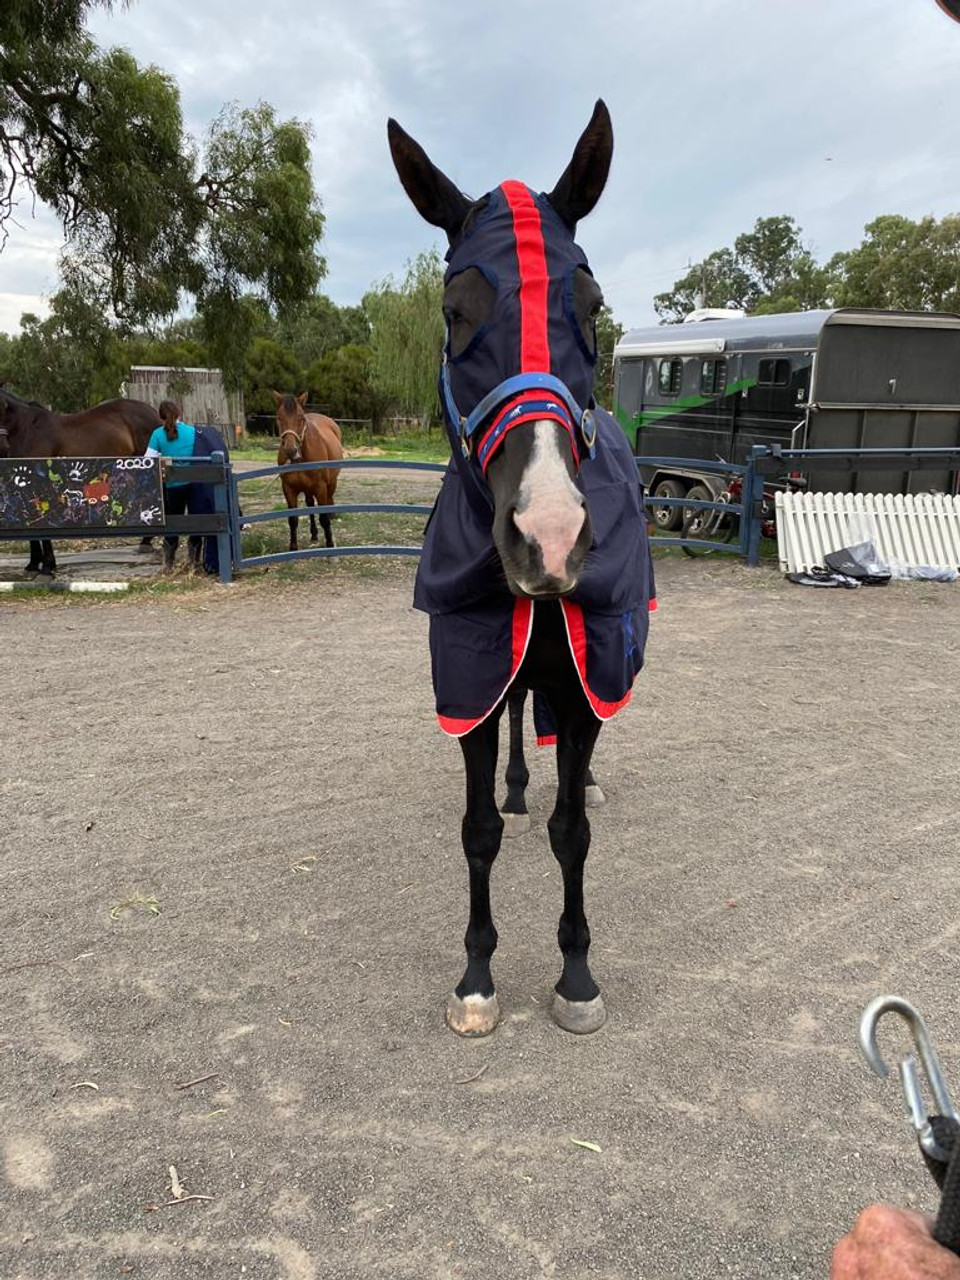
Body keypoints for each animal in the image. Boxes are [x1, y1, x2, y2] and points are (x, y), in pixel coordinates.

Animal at [272, 389, 343, 550]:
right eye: (279, 417)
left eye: (300, 418)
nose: (290, 450)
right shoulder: (289, 489)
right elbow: (293, 519)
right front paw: (293, 547)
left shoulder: (321, 488)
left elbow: (324, 518)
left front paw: (330, 544)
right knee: (310, 504)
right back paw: (314, 534)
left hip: (331, 483)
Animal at [389, 99, 655, 1039]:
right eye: (453, 308)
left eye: (594, 303)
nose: (549, 533)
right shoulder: (472, 668)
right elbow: (478, 831)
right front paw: (476, 976)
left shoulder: (580, 683)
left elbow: (571, 831)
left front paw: (576, 975)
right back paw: (514, 785)